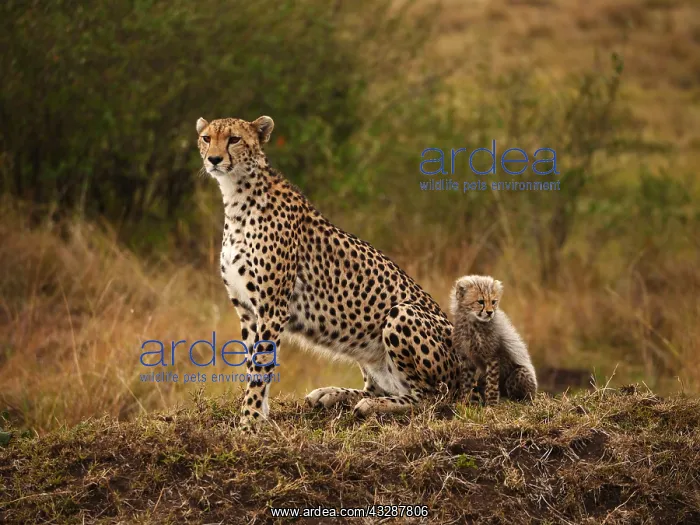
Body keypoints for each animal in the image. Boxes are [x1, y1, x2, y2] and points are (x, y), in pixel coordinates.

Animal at [196, 115, 473, 429]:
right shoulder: (246, 309)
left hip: (403, 314)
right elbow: (252, 362)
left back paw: (374, 405)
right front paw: (259, 413)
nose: (214, 159)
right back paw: (332, 394)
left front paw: (250, 421)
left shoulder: (272, 307)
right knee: (380, 387)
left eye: (234, 139)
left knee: (432, 397)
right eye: (206, 138)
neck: (236, 195)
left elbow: (260, 365)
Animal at [450, 275, 537, 406]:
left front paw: (491, 404)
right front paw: (462, 402)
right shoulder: (466, 358)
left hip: (519, 374)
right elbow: (466, 382)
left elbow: (491, 383)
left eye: (493, 302)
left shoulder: (492, 356)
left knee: (521, 396)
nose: (490, 312)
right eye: (480, 301)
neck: (472, 322)